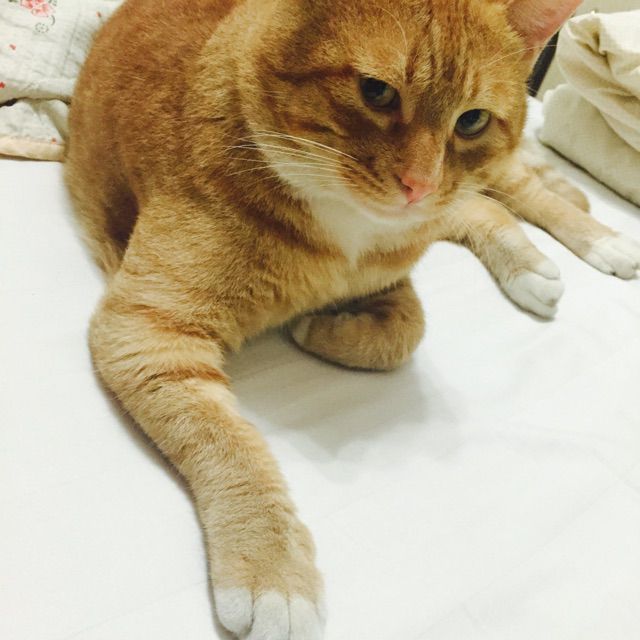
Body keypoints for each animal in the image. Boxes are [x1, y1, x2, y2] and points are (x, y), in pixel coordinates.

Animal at [65, 0, 640, 637]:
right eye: (376, 92)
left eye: (471, 121)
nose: (418, 186)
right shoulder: (145, 328)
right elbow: (232, 442)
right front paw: (274, 571)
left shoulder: (396, 264)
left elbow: (405, 332)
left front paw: (317, 325)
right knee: (483, 208)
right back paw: (534, 265)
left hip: (467, 192)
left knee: (507, 194)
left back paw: (605, 243)